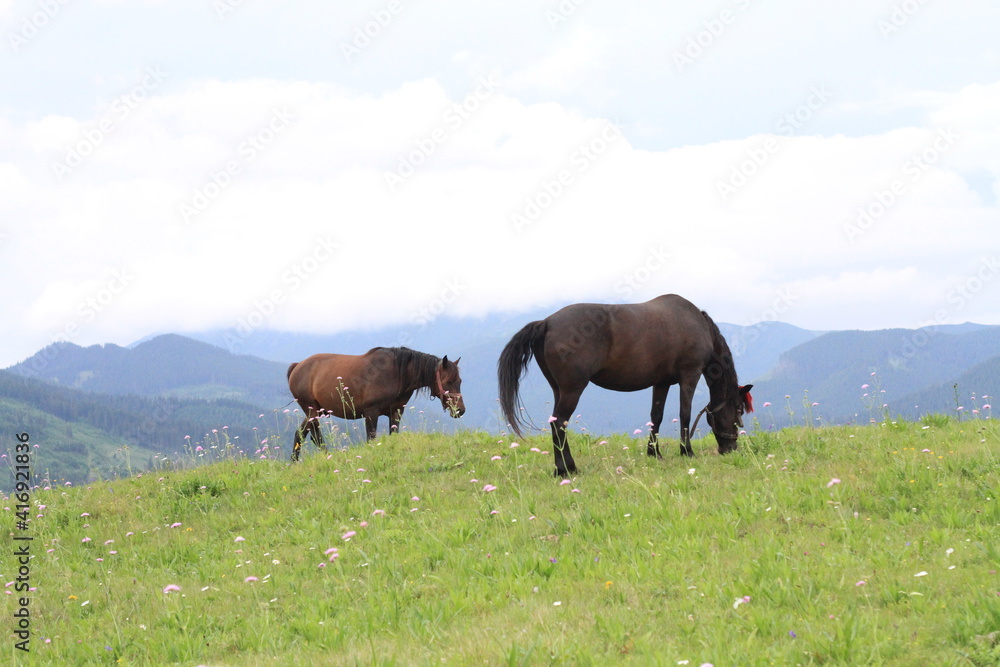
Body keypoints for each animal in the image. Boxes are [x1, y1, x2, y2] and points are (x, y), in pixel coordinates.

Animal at [286, 348, 464, 462]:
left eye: (460, 381)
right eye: (449, 381)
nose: (460, 410)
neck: (396, 373)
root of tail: (297, 366)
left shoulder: (396, 411)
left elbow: (393, 435)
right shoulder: (371, 412)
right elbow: (371, 439)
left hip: (317, 412)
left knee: (304, 434)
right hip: (312, 411)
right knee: (313, 435)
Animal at [496, 294, 752, 478]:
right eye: (739, 409)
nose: (731, 448)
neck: (696, 323)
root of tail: (546, 322)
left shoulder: (661, 383)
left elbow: (656, 416)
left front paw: (654, 453)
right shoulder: (689, 376)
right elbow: (685, 414)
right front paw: (686, 451)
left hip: (558, 389)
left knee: (557, 424)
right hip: (572, 389)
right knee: (559, 424)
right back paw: (566, 469)